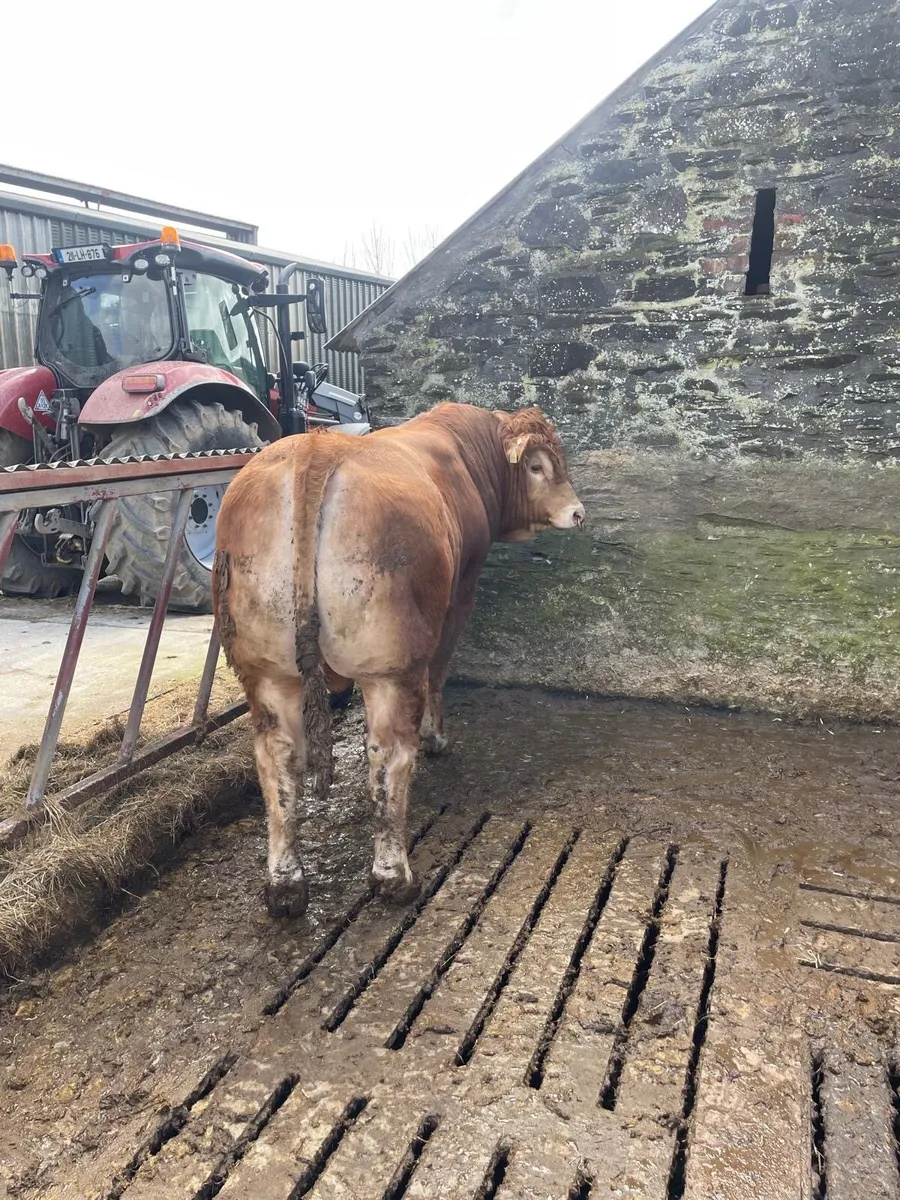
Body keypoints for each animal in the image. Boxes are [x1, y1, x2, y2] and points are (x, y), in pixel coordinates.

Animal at [213, 402, 584, 918]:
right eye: (536, 467)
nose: (578, 512)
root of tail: (315, 449)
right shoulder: (459, 596)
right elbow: (439, 671)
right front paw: (437, 736)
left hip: (265, 669)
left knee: (278, 756)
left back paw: (285, 886)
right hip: (390, 664)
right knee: (388, 755)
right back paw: (395, 876)